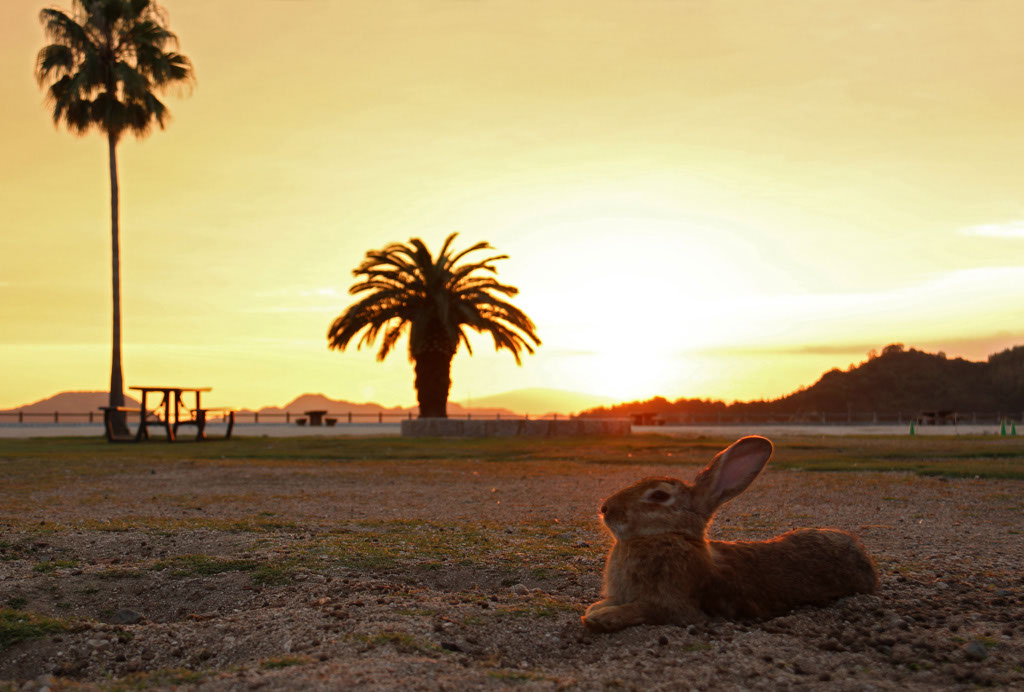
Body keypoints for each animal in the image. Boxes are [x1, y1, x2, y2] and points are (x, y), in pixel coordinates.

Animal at [582, 435, 878, 633]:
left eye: (659, 496)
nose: (605, 509)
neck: (669, 536)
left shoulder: (672, 605)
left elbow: (642, 610)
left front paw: (600, 618)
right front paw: (596, 609)